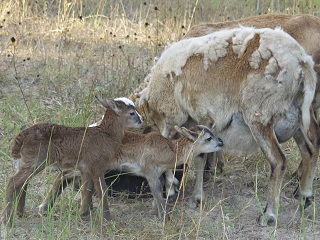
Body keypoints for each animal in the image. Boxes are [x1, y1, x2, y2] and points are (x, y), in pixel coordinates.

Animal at [140, 27, 318, 226]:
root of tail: (301, 61)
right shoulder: (200, 122)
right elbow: (199, 156)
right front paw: (195, 196)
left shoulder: (178, 117)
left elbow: (178, 152)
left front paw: (174, 191)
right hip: (297, 114)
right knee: (310, 149)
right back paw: (305, 196)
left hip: (261, 114)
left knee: (278, 161)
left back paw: (269, 214)